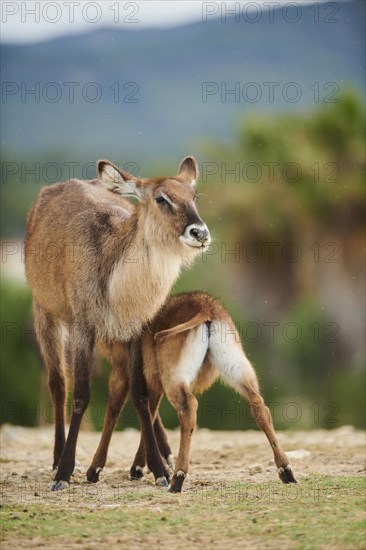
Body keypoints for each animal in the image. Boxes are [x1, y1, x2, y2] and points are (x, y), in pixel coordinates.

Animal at [25, 156, 209, 492]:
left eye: (194, 196)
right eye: (161, 199)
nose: (200, 233)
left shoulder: (135, 331)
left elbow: (140, 394)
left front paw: (159, 469)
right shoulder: (82, 329)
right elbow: (80, 395)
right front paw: (64, 472)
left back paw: (162, 455)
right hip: (45, 313)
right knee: (58, 384)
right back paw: (58, 458)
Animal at [87, 294, 296, 496]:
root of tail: (206, 308)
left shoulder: (124, 370)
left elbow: (118, 411)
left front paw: (96, 470)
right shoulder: (151, 380)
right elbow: (151, 413)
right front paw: (143, 467)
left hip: (174, 377)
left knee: (188, 408)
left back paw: (177, 479)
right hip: (237, 369)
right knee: (259, 405)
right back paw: (286, 471)